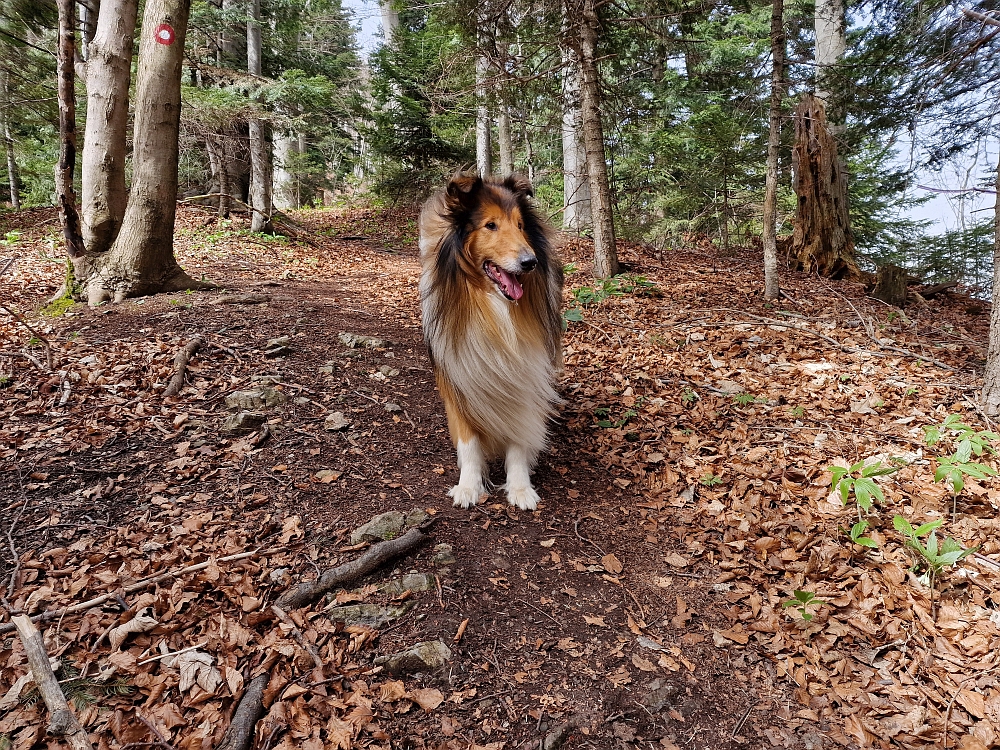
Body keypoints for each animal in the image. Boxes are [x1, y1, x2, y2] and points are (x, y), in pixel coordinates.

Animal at [420, 173, 564, 512]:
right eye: (491, 225)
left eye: (521, 225)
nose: (530, 262)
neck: (493, 308)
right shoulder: (459, 374)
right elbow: (469, 441)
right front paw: (469, 486)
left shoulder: (524, 373)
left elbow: (519, 433)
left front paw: (520, 487)